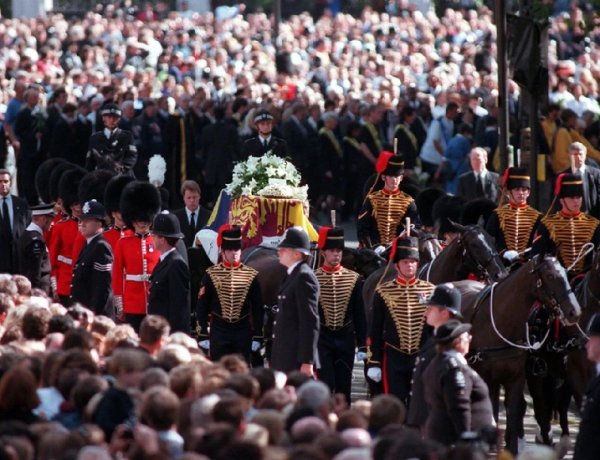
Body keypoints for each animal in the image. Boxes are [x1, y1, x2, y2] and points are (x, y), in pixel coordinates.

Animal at [454, 253, 580, 454]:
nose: (574, 312)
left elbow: (513, 412)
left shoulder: (516, 378)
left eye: (566, 275)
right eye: (550, 276)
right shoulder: (488, 377)